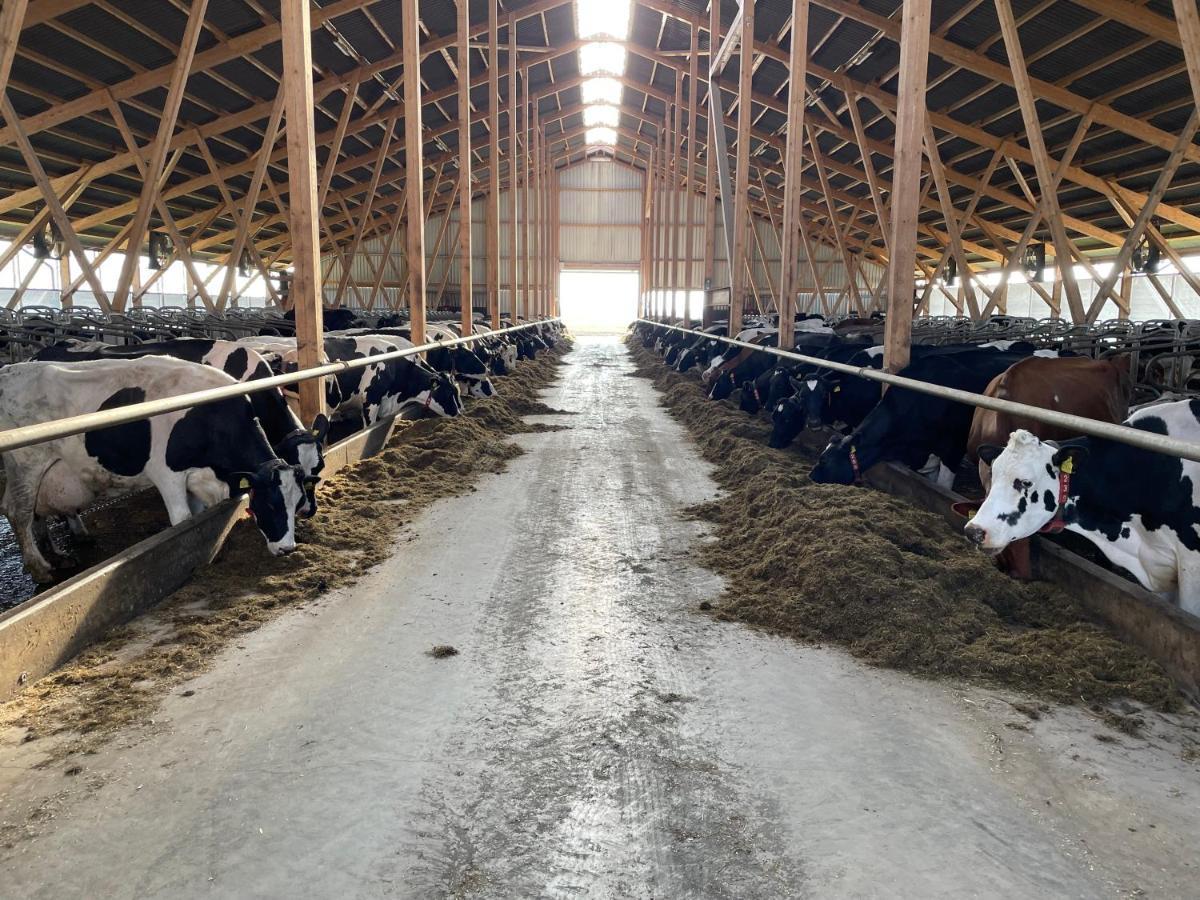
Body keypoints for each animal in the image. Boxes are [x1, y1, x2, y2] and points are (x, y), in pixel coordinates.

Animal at [0, 355, 309, 580]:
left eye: (296, 503)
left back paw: (58, 554)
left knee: (34, 514)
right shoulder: (167, 475)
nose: (287, 549)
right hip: (25, 462)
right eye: (270, 504)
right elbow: (182, 521)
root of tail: (10, 370)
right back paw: (41, 568)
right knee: (19, 512)